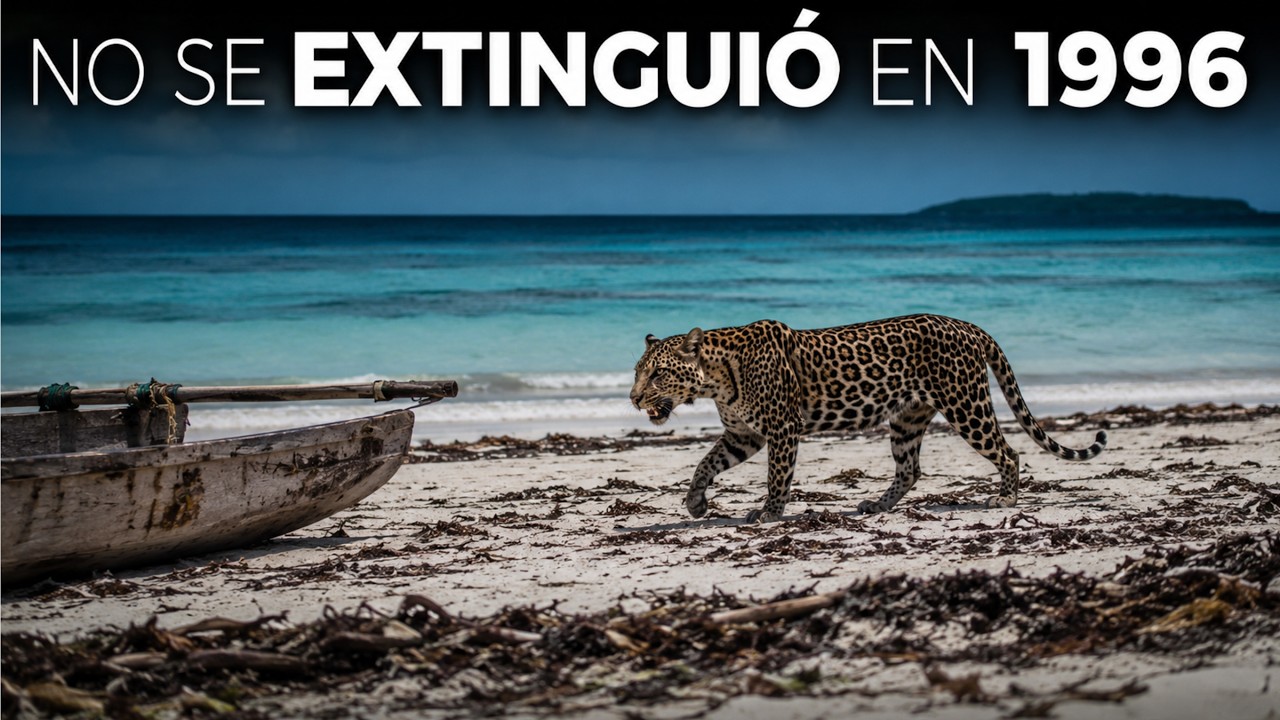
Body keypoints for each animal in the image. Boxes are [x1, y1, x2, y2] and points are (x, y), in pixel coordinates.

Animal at [629, 314, 1107, 523]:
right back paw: (876, 505)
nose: (633, 398)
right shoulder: (742, 435)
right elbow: (705, 464)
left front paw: (769, 512)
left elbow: (776, 476)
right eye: (637, 371)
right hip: (908, 418)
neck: (715, 377)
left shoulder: (782, 429)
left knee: (1008, 452)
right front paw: (695, 503)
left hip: (965, 404)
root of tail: (969, 326)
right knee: (910, 469)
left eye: (658, 373)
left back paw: (1005, 498)